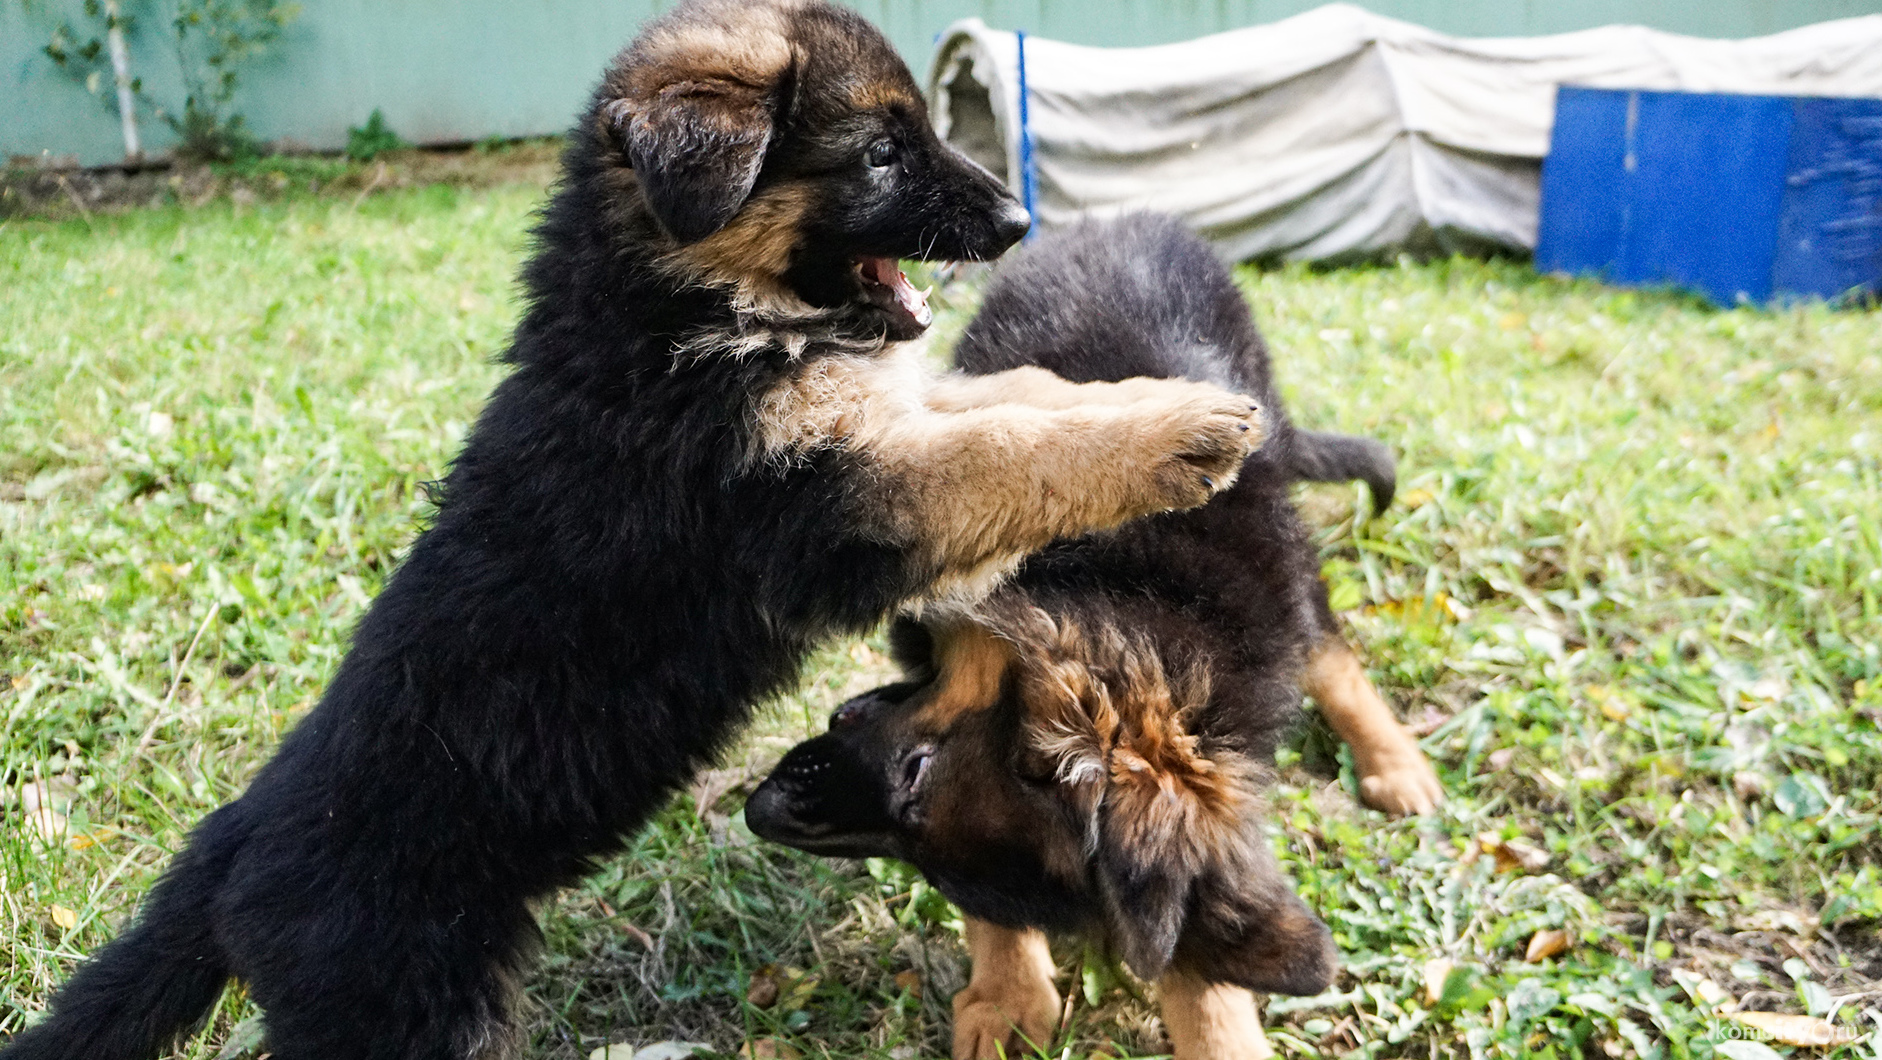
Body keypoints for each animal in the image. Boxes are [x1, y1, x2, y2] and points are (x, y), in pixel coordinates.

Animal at [7, 6, 1264, 1060]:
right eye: (879, 153)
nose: (1016, 221)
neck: (670, 315)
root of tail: (233, 840)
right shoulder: (830, 505)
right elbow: (1004, 448)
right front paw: (1177, 434)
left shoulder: (874, 421)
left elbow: (1014, 396)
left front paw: (1158, 395)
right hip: (407, 1001)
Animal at [749, 211, 1437, 1054]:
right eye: (933, 874)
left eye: (915, 777)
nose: (759, 811)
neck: (1145, 599)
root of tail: (1122, 218)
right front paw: (1006, 994)